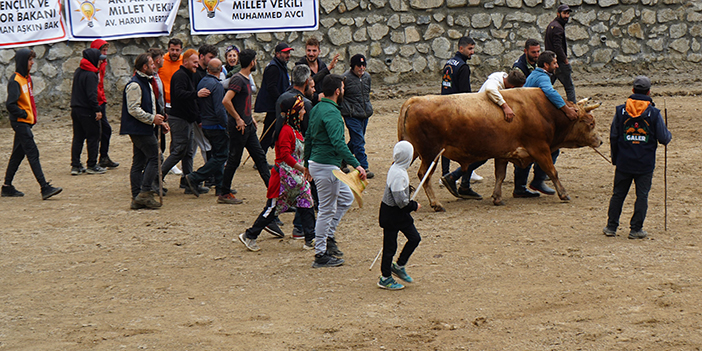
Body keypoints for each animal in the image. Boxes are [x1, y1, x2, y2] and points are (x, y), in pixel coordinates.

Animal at [398, 87, 604, 212]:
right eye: (591, 123)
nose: (601, 141)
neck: (543, 110)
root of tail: (414, 100)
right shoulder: (540, 148)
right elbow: (552, 171)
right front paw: (563, 193)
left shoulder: (503, 153)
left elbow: (500, 175)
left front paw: (497, 197)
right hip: (430, 154)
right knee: (424, 175)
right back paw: (436, 204)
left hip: (411, 150)